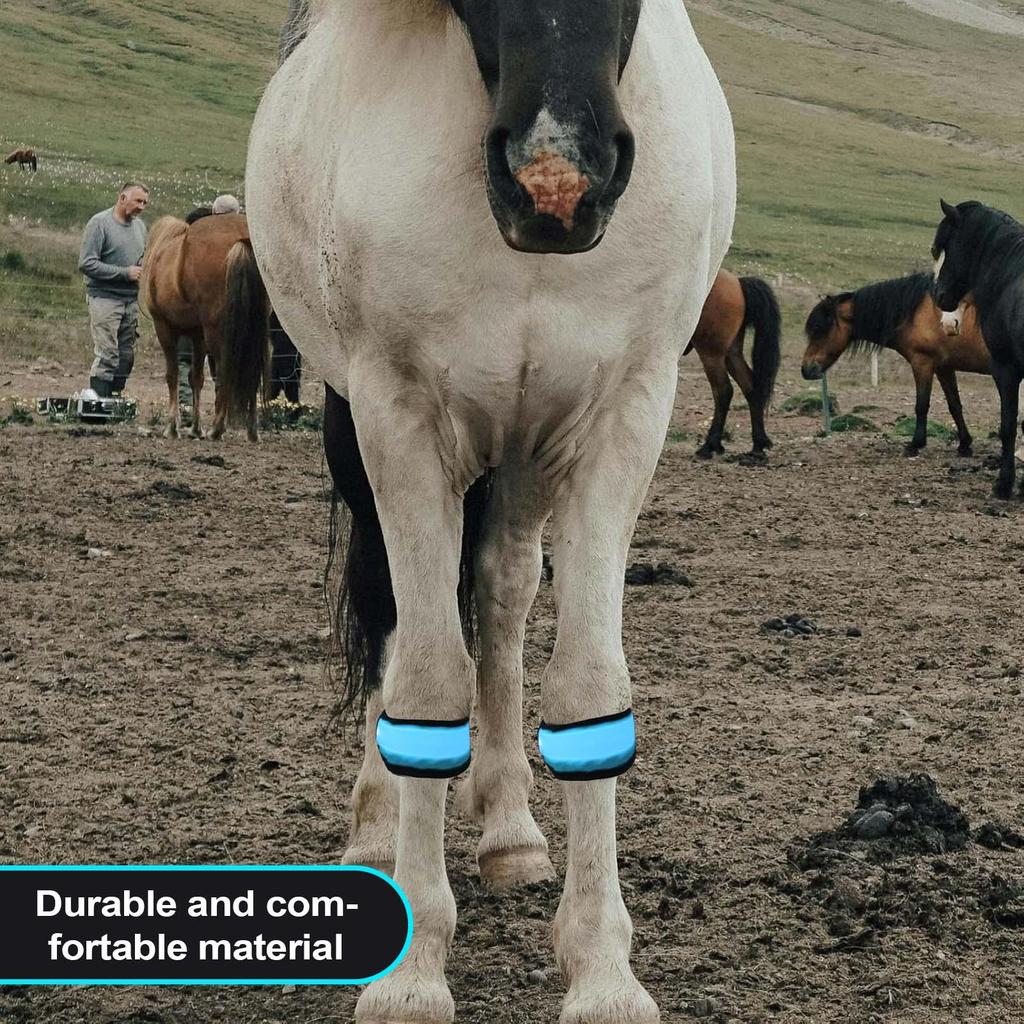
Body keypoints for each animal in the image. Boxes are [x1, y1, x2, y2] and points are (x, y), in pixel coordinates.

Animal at [139, 212, 267, 440]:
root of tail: (242, 238)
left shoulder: (164, 328)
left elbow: (173, 375)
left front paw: (172, 427)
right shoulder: (197, 336)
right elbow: (196, 378)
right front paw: (195, 428)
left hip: (218, 334)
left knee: (225, 371)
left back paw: (217, 428)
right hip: (255, 333)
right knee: (252, 371)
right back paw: (252, 431)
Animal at [242, 2, 736, 1021]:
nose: (558, 180)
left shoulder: (622, 417)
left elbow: (588, 685)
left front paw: (602, 969)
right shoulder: (397, 419)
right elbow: (429, 680)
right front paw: (413, 969)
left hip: (523, 449)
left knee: (504, 593)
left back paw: (510, 828)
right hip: (363, 432)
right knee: (396, 613)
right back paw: (377, 829)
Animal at [685, 269, 781, 459]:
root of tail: (737, 282)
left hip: (712, 353)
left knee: (723, 391)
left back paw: (710, 445)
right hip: (731, 353)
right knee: (750, 387)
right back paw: (758, 444)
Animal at [802, 272, 991, 456]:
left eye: (819, 329)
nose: (806, 369)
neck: (919, 312)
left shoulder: (922, 364)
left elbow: (922, 406)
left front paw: (915, 444)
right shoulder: (943, 368)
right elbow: (954, 405)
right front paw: (965, 444)